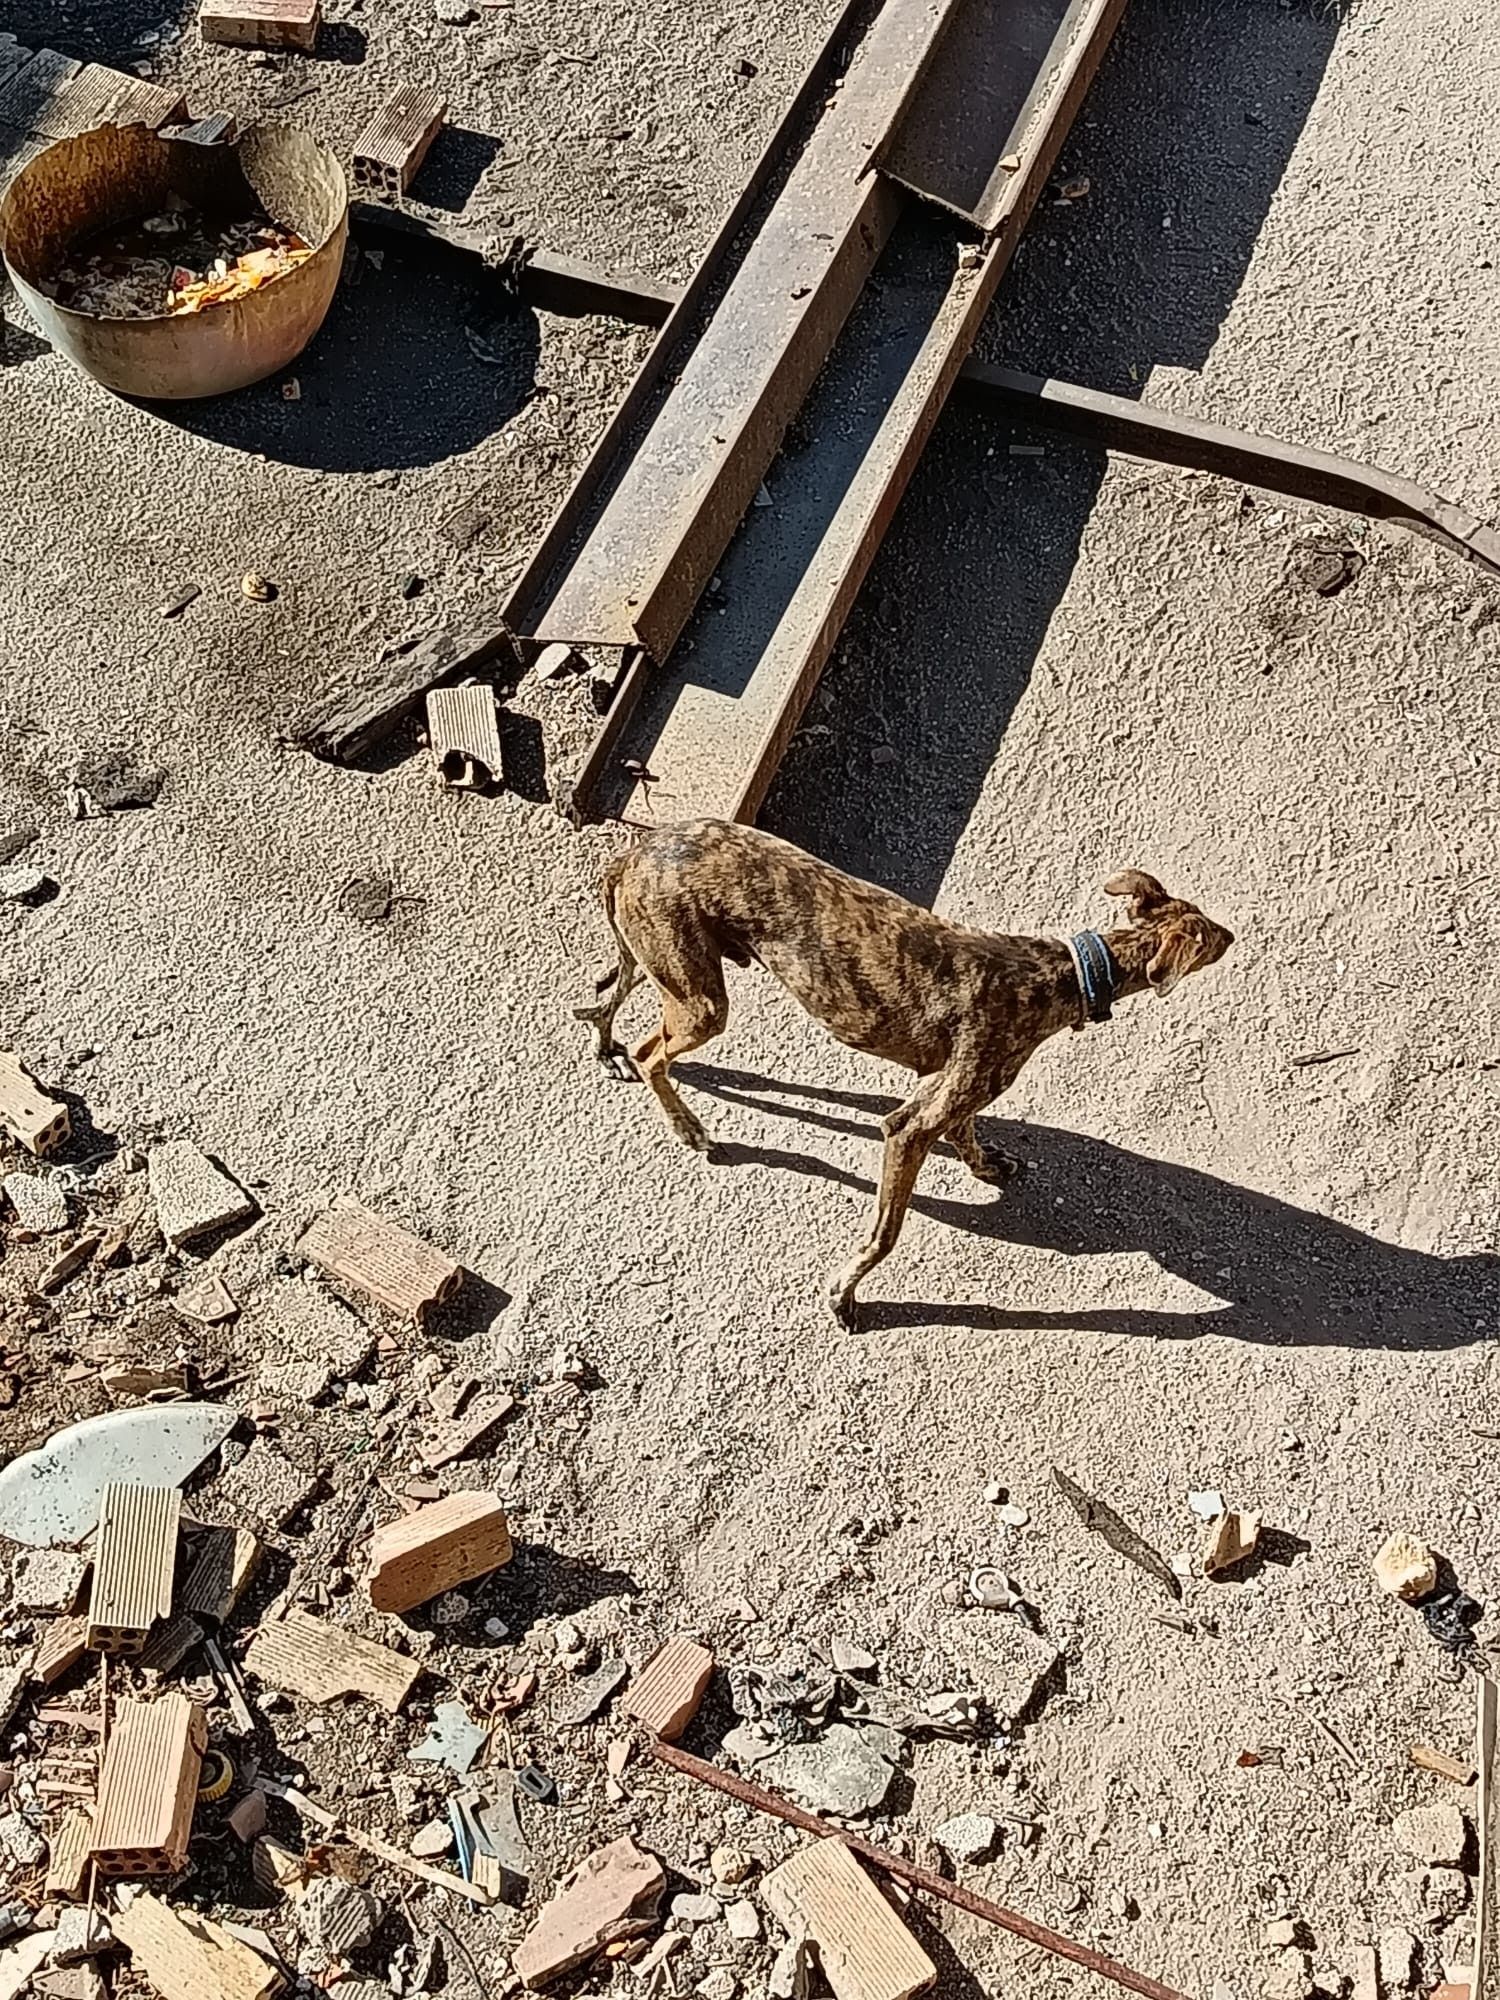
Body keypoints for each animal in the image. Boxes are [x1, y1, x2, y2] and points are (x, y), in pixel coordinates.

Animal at [576, 820, 1232, 1320]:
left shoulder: (947, 1092)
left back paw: (607, 1050)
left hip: (658, 966)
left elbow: (968, 1131)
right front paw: (844, 1294)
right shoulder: (910, 1127)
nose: (1235, 933)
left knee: (611, 1006)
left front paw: (988, 1166)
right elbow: (887, 1231)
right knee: (652, 1053)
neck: (1060, 975)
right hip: (702, 1003)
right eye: (1208, 935)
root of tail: (637, 850)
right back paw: (688, 1128)